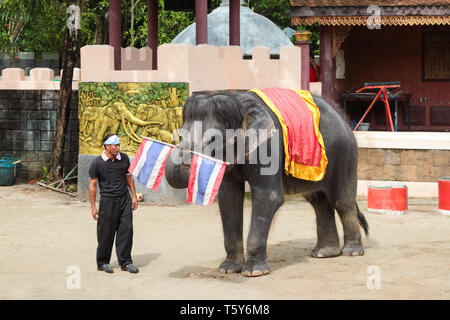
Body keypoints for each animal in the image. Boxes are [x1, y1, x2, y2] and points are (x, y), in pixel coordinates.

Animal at [165, 90, 370, 278]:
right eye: (182, 133)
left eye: (213, 139)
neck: (239, 104)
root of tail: (343, 119)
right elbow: (229, 199)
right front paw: (228, 269)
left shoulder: (268, 148)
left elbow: (269, 197)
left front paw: (253, 272)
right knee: (319, 202)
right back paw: (323, 253)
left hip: (345, 154)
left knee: (342, 201)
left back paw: (351, 252)